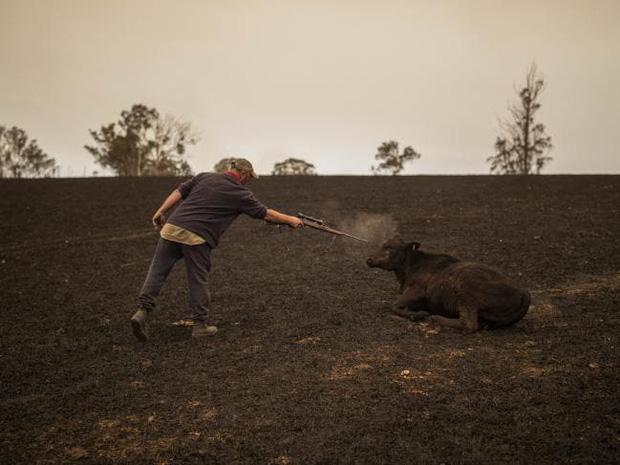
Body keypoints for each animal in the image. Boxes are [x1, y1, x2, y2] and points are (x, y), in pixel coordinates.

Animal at [366, 236, 532, 330]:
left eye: (390, 248)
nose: (369, 259)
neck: (409, 269)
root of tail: (524, 293)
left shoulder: (418, 291)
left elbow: (394, 306)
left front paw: (419, 315)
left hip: (465, 290)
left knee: (469, 324)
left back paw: (435, 318)